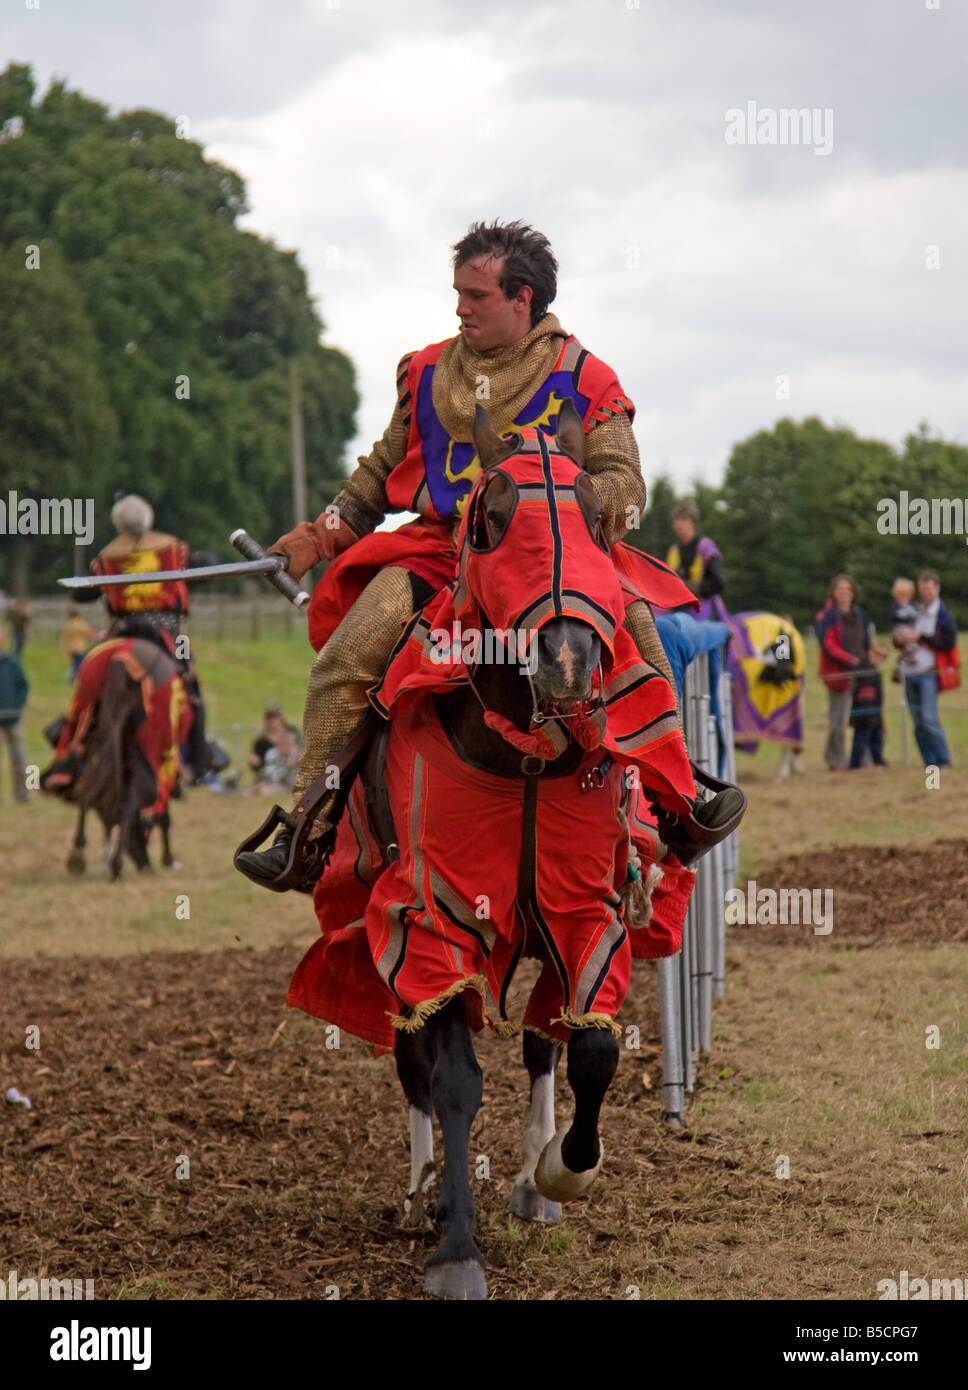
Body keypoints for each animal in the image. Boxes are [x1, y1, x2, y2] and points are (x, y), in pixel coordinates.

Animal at [41, 633, 190, 878]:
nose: (143, 862)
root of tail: (125, 665)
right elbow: (155, 807)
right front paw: (164, 857)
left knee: (91, 779)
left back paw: (83, 855)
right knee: (132, 792)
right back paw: (110, 861)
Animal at [279, 405, 712, 1301]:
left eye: (596, 519)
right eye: (490, 519)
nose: (568, 660)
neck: (522, 758)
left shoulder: (581, 905)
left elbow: (592, 1045)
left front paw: (563, 1169)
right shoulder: (427, 912)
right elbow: (449, 1076)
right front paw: (455, 1247)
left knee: (543, 1039)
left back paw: (528, 1181)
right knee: (411, 1052)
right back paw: (421, 1196)